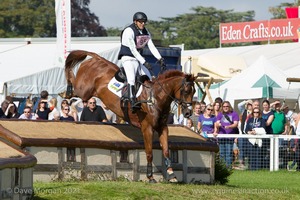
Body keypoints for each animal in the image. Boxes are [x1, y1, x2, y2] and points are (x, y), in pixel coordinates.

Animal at [65, 50, 197, 183]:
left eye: (194, 91)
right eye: (186, 91)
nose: (188, 113)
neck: (156, 98)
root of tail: (96, 59)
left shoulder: (163, 127)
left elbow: (166, 150)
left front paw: (171, 175)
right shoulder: (147, 128)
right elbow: (149, 153)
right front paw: (150, 177)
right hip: (84, 91)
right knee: (73, 89)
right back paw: (68, 93)